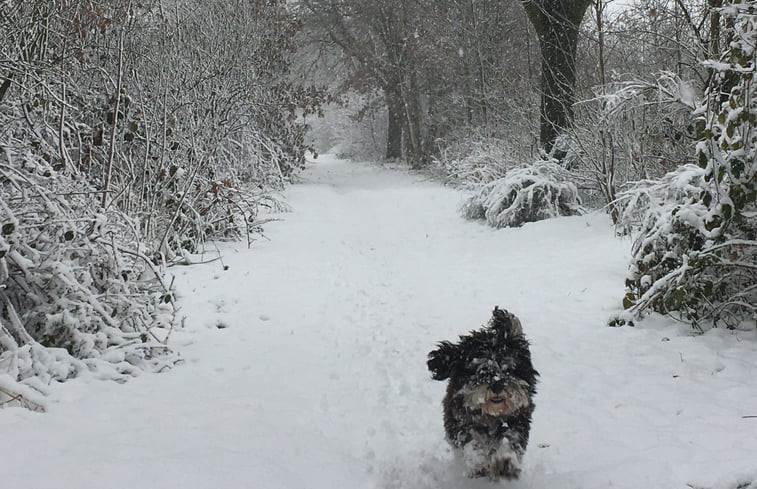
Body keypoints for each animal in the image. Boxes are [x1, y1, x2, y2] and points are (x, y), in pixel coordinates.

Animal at [426, 306, 536, 478]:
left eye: (509, 368)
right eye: (479, 370)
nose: (497, 386)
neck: (491, 414)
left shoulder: (518, 421)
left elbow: (510, 439)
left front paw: (505, 461)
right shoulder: (459, 422)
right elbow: (470, 442)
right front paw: (479, 462)